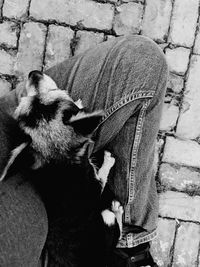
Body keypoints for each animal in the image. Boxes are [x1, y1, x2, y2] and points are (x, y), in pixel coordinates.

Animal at [0, 71, 123, 267]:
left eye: (25, 101)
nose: (33, 73)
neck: (58, 159)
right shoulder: (95, 185)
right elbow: (102, 175)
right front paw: (107, 162)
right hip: (106, 219)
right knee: (117, 230)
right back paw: (118, 209)